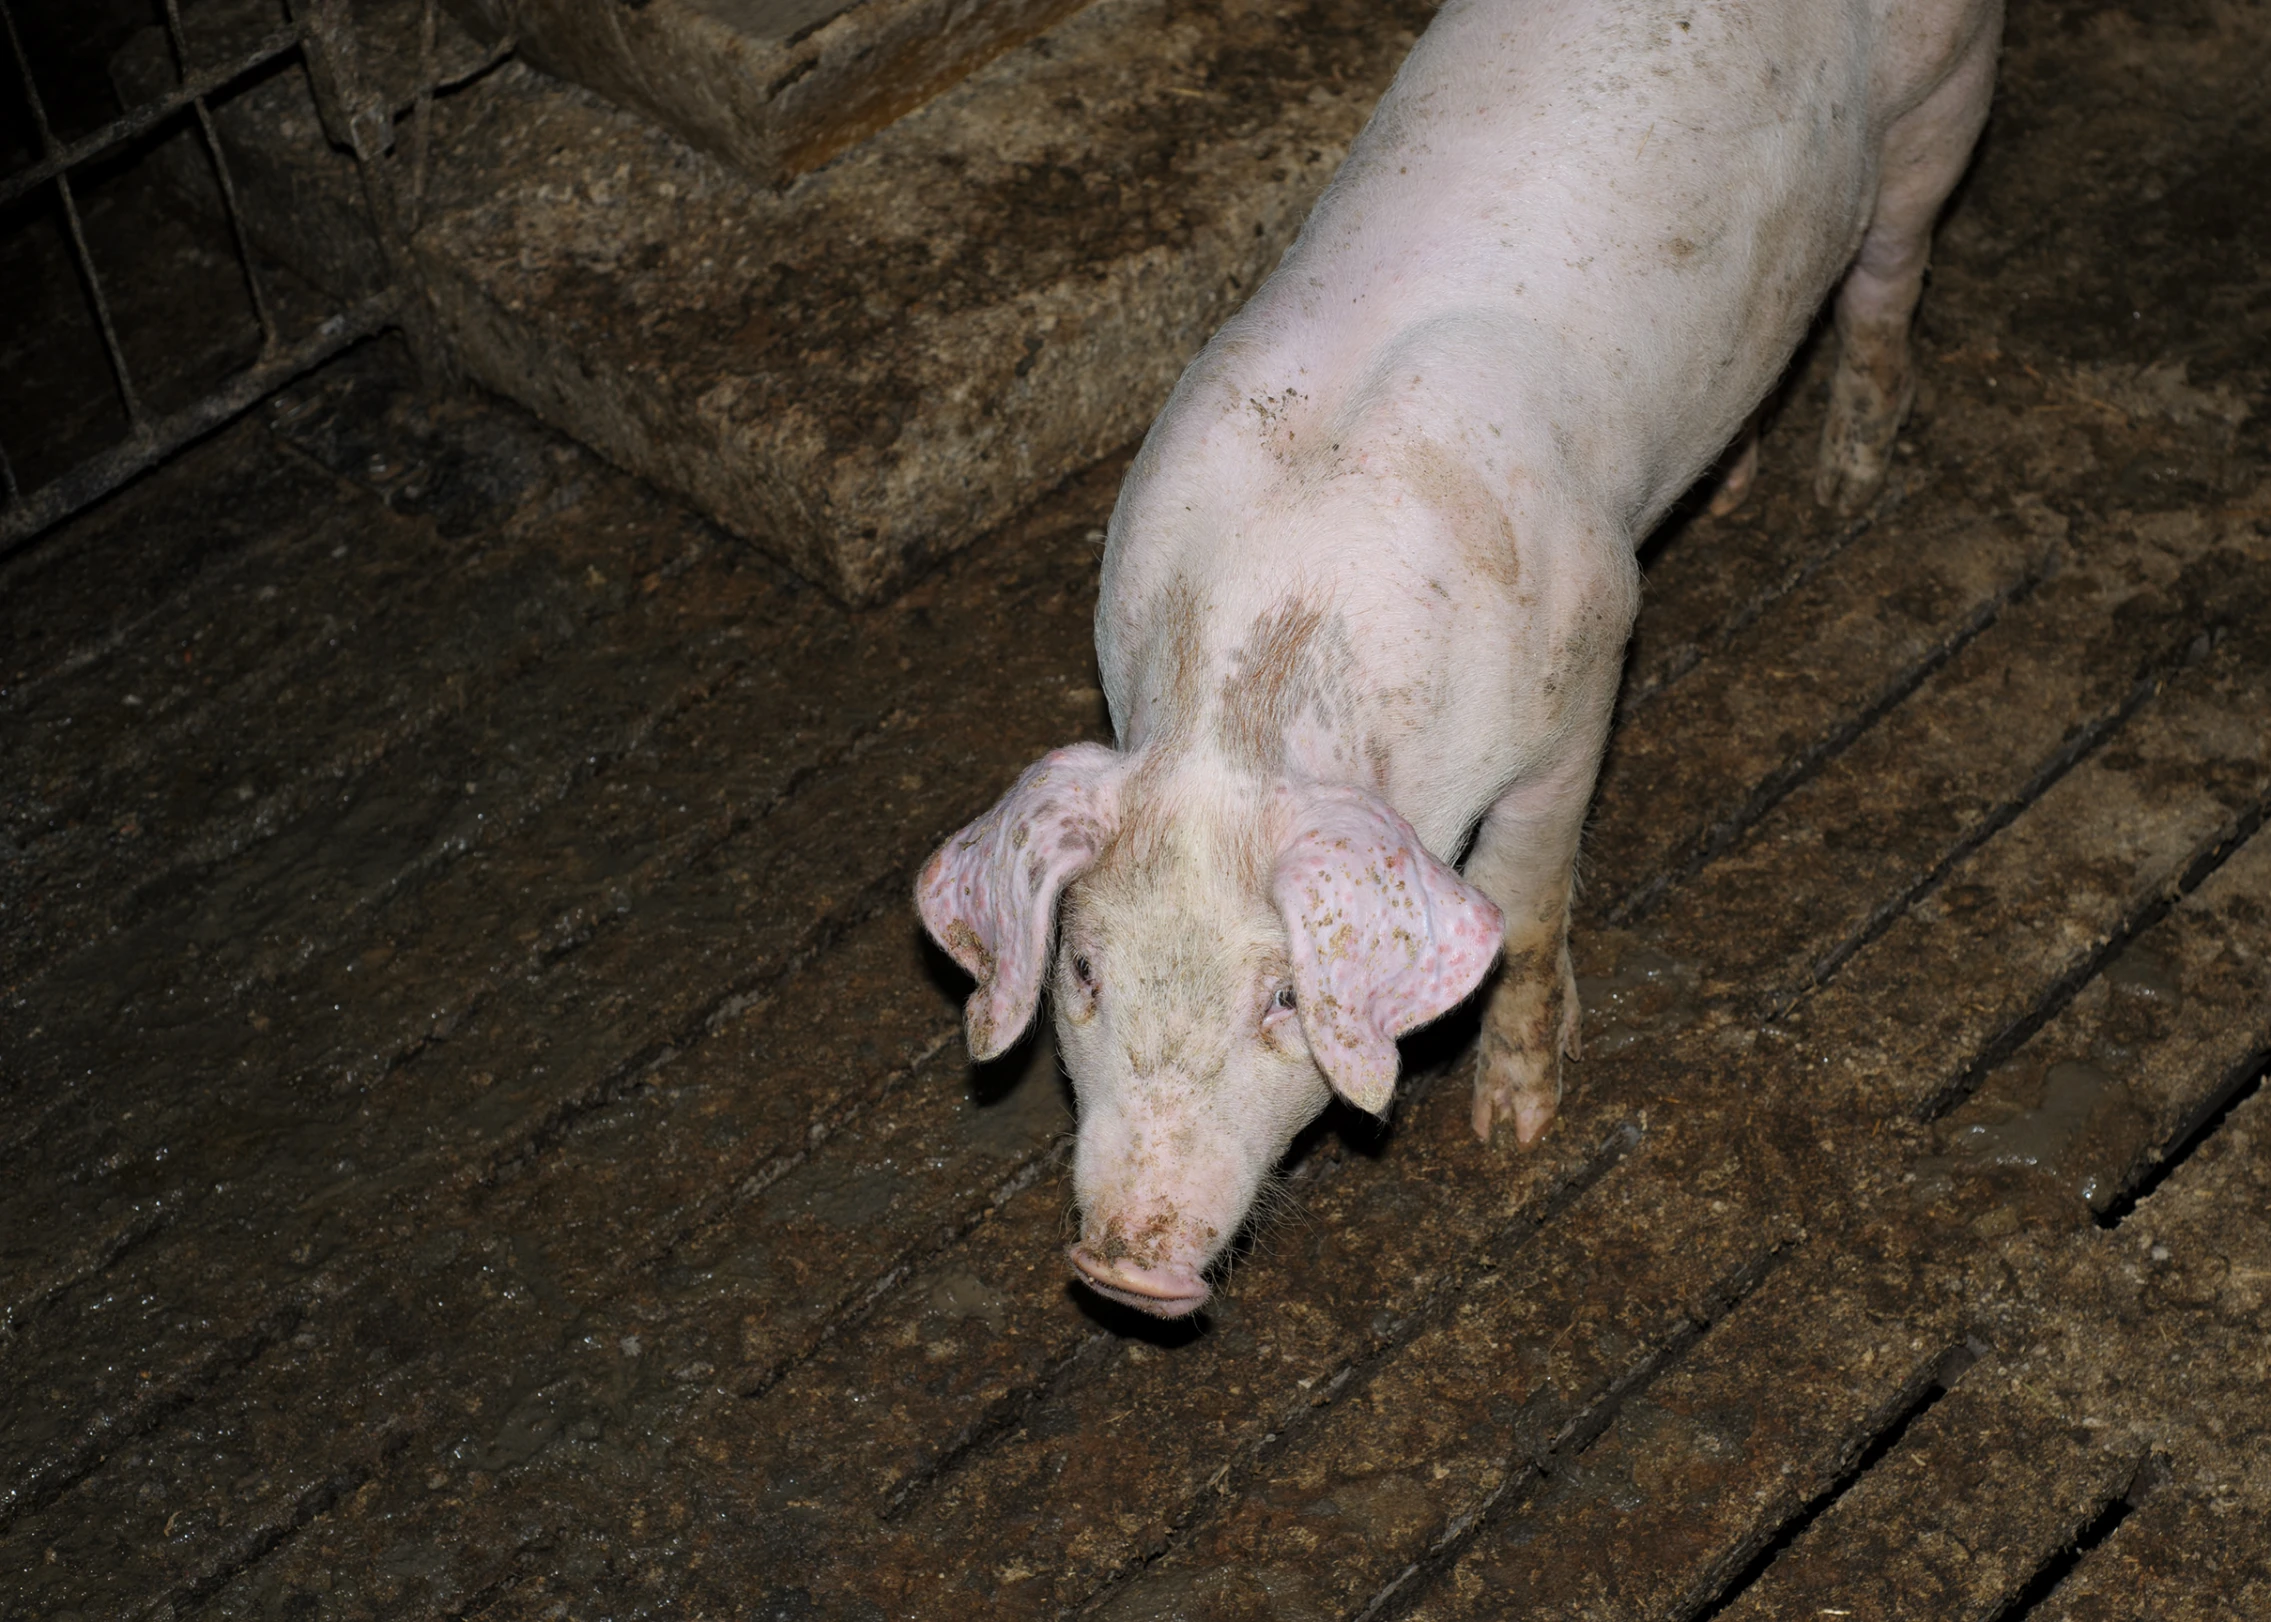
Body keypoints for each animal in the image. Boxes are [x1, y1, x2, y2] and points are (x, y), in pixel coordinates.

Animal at [912, 0, 1998, 1317]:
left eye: (1285, 995)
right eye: (1082, 970)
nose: (1121, 1267)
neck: (1254, 690)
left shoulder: (1583, 672)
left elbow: (1526, 905)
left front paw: (1516, 1128)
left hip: (1943, 98)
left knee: (1889, 274)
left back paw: (1847, 483)